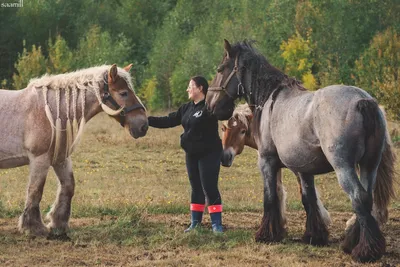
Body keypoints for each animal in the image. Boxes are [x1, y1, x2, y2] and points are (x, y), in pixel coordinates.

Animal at [0, 63, 148, 240]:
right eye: (123, 93)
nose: (143, 126)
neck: (52, 111)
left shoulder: (60, 158)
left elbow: (68, 186)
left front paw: (58, 224)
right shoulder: (40, 159)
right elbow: (35, 191)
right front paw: (34, 228)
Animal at [206, 40, 396, 264]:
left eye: (220, 69)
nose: (209, 103)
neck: (269, 99)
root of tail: (362, 101)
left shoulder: (266, 161)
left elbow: (270, 197)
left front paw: (267, 234)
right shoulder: (304, 169)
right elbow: (309, 199)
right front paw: (315, 236)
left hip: (344, 167)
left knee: (359, 198)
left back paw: (365, 251)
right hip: (369, 165)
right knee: (368, 198)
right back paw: (352, 242)